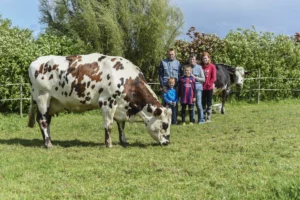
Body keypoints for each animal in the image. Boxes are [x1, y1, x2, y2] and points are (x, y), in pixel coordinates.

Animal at [29, 52, 173, 147]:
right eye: (165, 124)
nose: (167, 142)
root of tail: (36, 61)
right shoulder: (107, 102)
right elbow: (109, 125)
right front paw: (108, 144)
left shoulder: (121, 106)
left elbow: (121, 125)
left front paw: (124, 141)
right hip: (42, 97)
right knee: (42, 121)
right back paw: (48, 144)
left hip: (52, 102)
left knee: (47, 121)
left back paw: (49, 140)